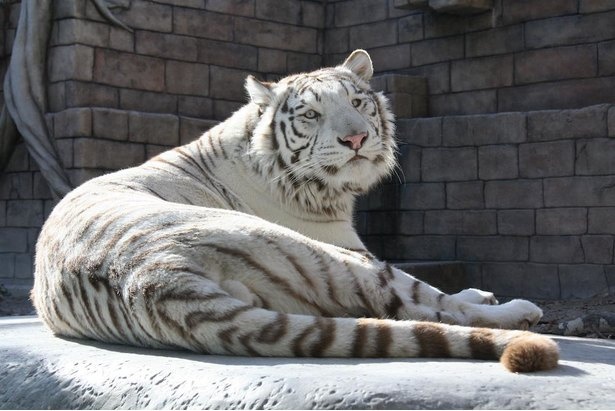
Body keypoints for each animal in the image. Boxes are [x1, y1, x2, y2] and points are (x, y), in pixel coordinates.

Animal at [31, 50, 560, 372]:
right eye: (310, 114)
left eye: (358, 102)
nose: (356, 139)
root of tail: (152, 279)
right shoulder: (348, 245)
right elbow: (436, 294)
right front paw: (487, 296)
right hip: (325, 257)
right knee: (419, 304)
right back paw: (518, 310)